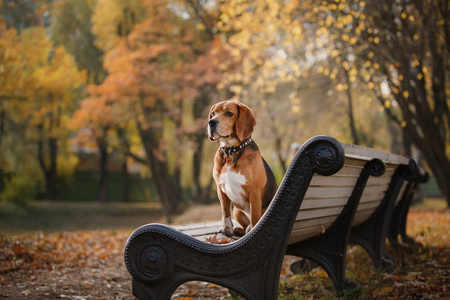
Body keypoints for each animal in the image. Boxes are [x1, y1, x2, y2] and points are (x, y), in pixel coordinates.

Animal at [208, 101, 278, 237]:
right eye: (213, 113)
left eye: (229, 113)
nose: (211, 122)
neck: (231, 151)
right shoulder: (220, 188)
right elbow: (225, 212)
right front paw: (226, 228)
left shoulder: (254, 191)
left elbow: (255, 217)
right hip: (237, 211)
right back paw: (240, 230)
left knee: (252, 221)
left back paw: (249, 229)